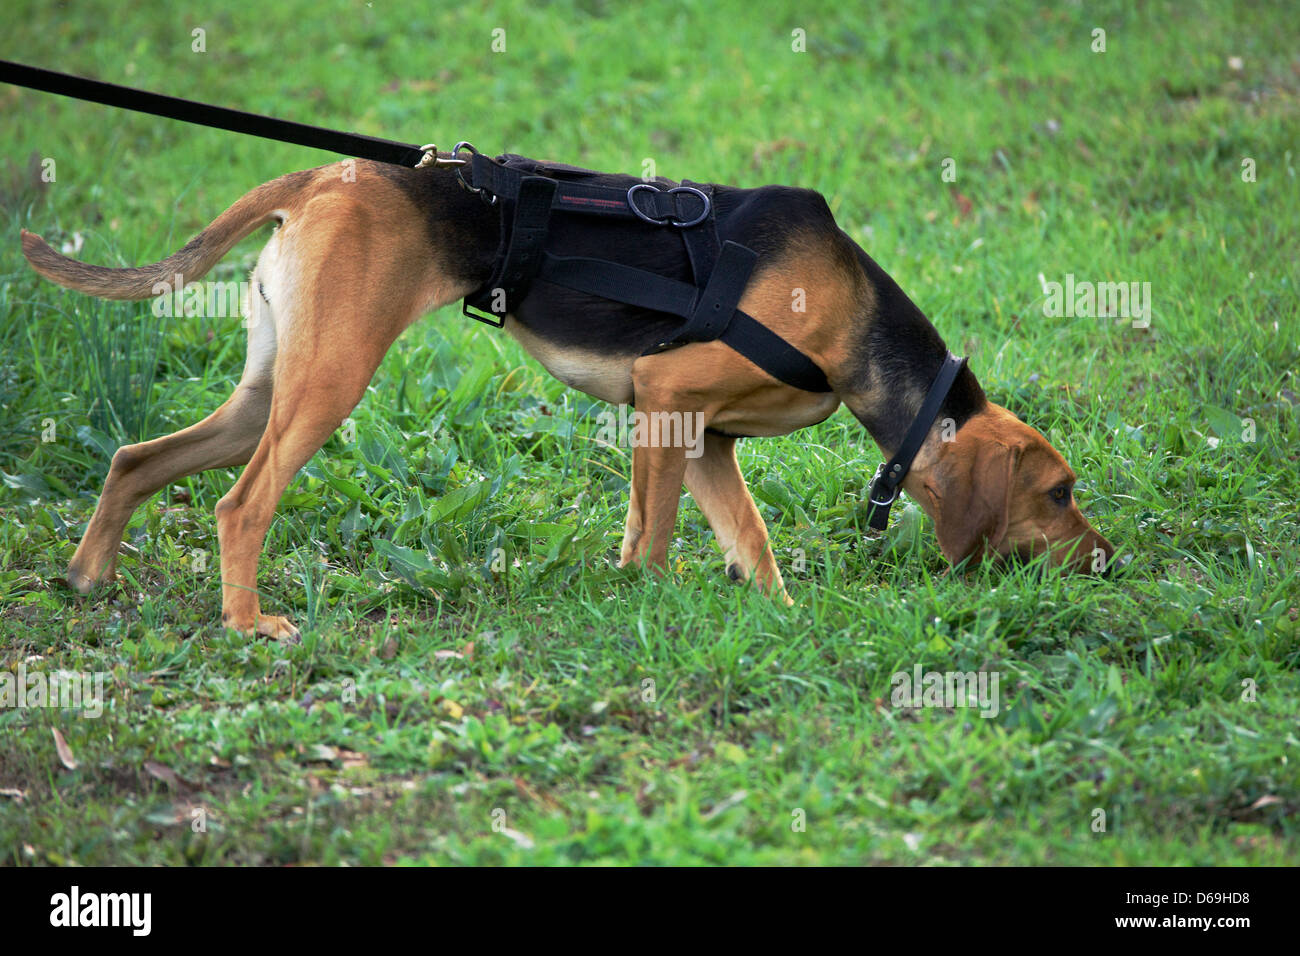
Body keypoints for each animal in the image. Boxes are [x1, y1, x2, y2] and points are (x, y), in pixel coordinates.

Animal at [20, 153, 1112, 639]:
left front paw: (782, 616)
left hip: (268, 388)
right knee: (240, 503)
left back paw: (88, 576)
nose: (1107, 559)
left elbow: (745, 540)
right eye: (1058, 494)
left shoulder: (702, 438)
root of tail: (327, 177)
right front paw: (653, 597)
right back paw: (249, 625)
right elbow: (658, 536)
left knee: (136, 458)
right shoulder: (670, 397)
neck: (855, 325)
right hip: (327, 386)